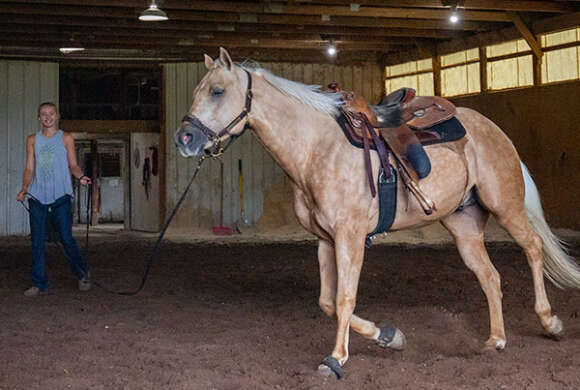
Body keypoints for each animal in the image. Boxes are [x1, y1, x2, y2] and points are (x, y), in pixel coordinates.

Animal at [174, 47, 580, 380]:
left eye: (217, 91)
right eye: (196, 91)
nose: (185, 139)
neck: (317, 148)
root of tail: (496, 132)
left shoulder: (351, 237)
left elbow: (344, 299)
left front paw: (336, 359)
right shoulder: (325, 239)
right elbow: (328, 302)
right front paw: (389, 335)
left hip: (505, 206)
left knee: (533, 248)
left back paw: (550, 322)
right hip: (463, 227)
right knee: (491, 276)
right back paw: (496, 339)